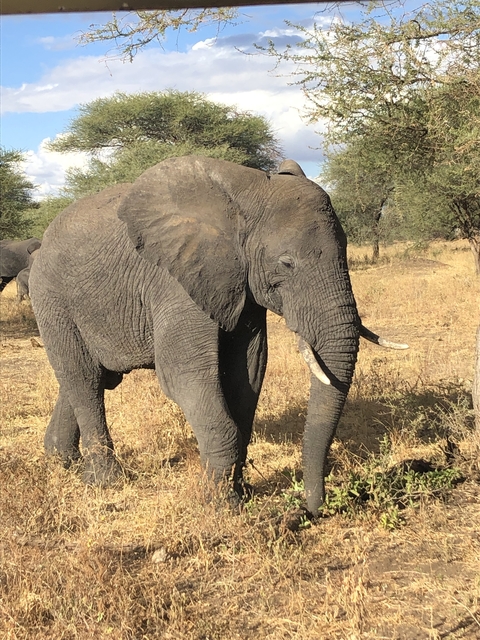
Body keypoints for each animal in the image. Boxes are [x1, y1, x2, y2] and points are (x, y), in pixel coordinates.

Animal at [29, 156, 407, 515]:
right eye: (286, 263)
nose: (311, 509)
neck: (245, 197)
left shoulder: (242, 287)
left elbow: (248, 372)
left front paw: (242, 492)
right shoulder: (176, 280)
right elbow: (185, 375)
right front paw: (223, 506)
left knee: (93, 377)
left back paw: (61, 461)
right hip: (50, 297)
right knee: (84, 379)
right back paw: (105, 482)